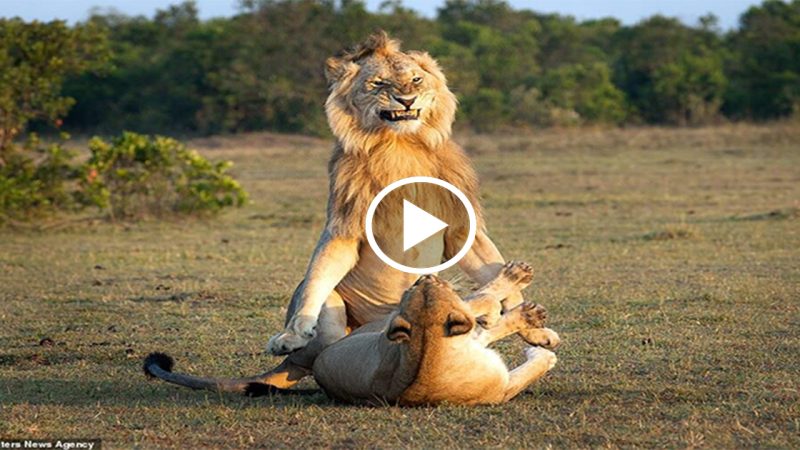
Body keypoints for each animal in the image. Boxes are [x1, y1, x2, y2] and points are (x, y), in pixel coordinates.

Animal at [144, 260, 560, 404]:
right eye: (432, 285)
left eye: (420, 287)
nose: (426, 276)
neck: (427, 347)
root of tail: (304, 362)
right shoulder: (500, 385)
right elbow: (493, 322)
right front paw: (540, 342)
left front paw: (536, 333)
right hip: (349, 313)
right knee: (483, 302)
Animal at [256, 32, 544, 390]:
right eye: (379, 83)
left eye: (416, 79)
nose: (406, 99)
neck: (401, 146)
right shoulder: (346, 221)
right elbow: (319, 273)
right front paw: (292, 332)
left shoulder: (461, 226)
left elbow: (489, 263)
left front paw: (539, 332)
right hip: (340, 325)